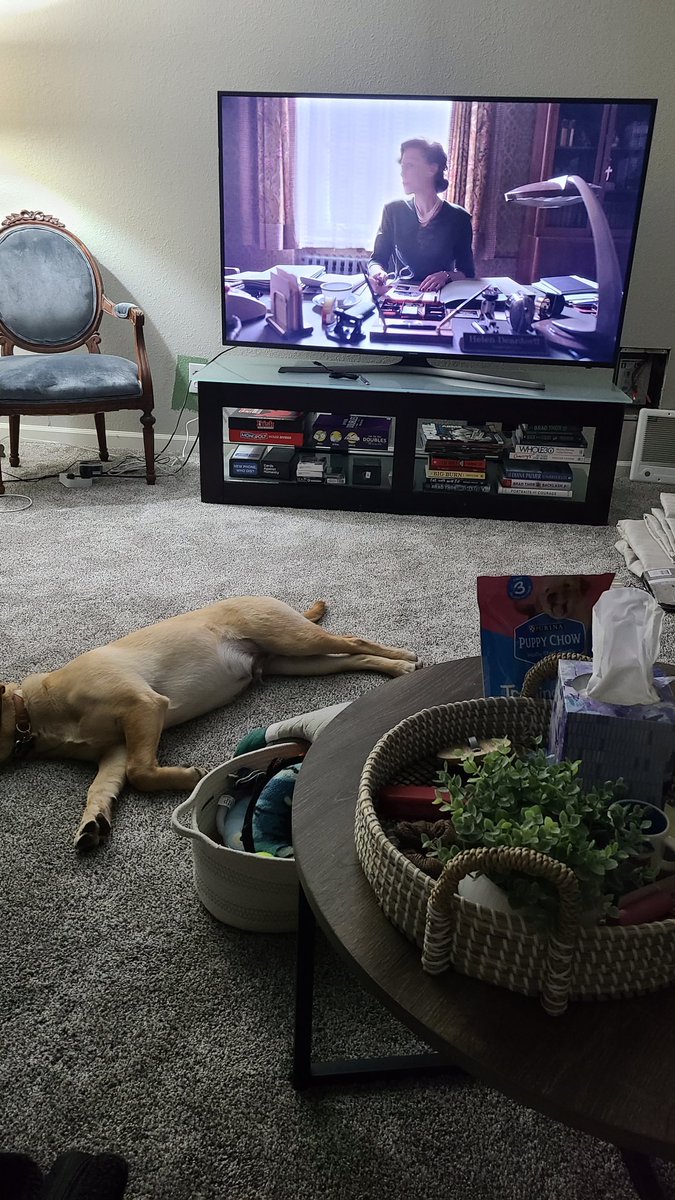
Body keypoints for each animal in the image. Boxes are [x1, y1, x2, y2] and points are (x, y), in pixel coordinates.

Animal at [0, 596, 418, 850]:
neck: (34, 710)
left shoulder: (143, 706)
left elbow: (140, 771)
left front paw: (190, 777)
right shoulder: (114, 752)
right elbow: (101, 788)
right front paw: (92, 822)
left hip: (295, 639)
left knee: (353, 640)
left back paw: (404, 656)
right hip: (296, 662)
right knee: (352, 657)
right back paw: (395, 669)